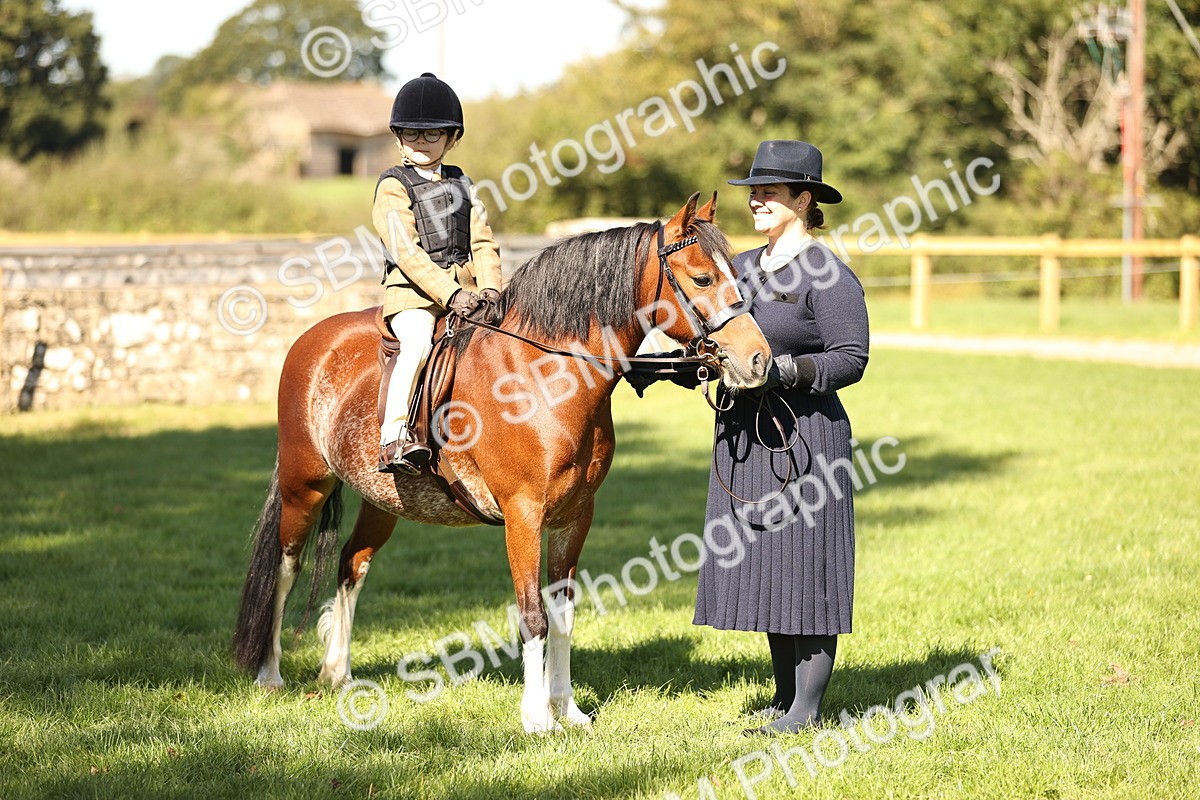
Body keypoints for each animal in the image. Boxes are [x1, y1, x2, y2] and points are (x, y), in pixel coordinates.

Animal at [231, 192, 770, 733]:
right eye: (702, 279)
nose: (759, 359)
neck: (546, 376)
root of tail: (313, 339)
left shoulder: (575, 516)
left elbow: (563, 614)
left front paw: (567, 708)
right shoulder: (523, 516)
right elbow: (532, 615)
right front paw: (537, 718)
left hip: (381, 500)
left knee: (351, 565)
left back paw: (337, 673)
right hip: (304, 486)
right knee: (286, 566)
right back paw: (270, 675)